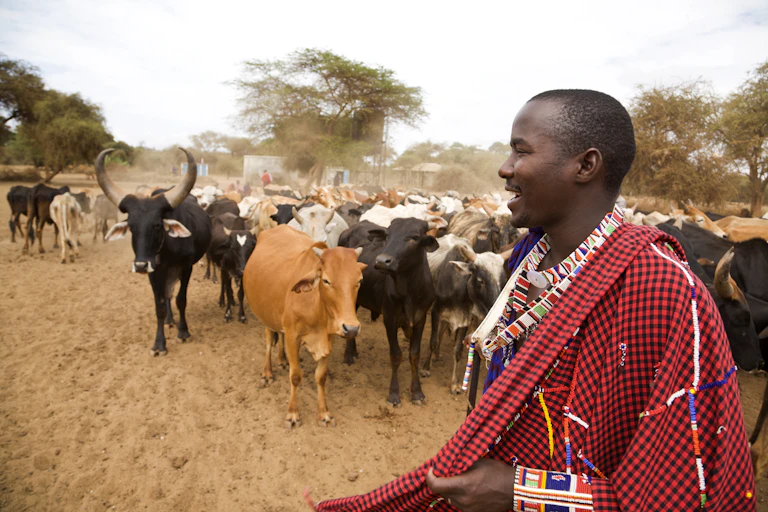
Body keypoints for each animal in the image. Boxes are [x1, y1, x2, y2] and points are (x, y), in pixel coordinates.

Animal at [97, 147, 212, 356]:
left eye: (157, 225)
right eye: (131, 226)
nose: (140, 265)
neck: (166, 251)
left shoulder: (186, 268)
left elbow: (181, 300)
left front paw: (183, 332)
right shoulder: (154, 273)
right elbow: (159, 305)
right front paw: (159, 344)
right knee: (166, 297)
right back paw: (169, 320)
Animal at [243, 225, 365, 427]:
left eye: (359, 281)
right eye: (326, 280)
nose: (351, 328)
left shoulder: (328, 339)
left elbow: (321, 376)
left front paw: (324, 413)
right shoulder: (293, 337)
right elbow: (296, 376)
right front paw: (292, 414)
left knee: (279, 335)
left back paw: (282, 359)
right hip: (265, 315)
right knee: (269, 340)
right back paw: (267, 372)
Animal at [339, 218, 439, 406]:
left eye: (414, 237)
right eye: (387, 235)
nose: (381, 261)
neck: (409, 291)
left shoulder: (421, 319)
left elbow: (414, 355)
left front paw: (417, 393)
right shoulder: (390, 319)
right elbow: (396, 355)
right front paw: (393, 394)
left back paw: (353, 352)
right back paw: (348, 356)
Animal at [423, 235, 506, 393]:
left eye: (502, 281)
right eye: (481, 281)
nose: (496, 311)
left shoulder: (464, 321)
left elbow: (457, 350)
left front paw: (455, 384)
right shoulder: (436, 313)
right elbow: (433, 341)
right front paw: (425, 369)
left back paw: (437, 355)